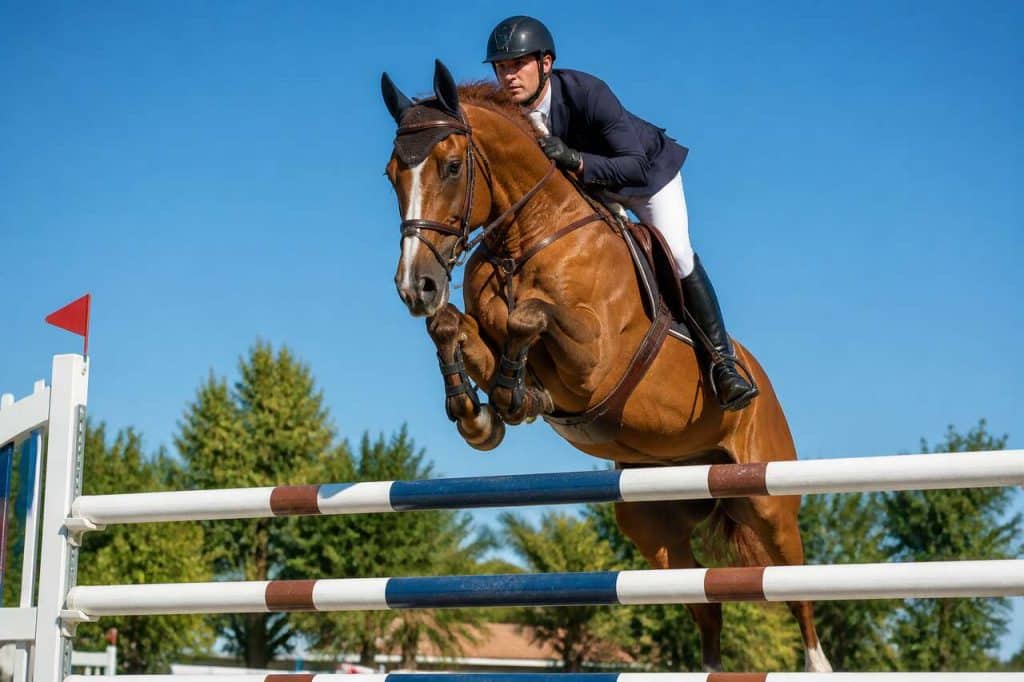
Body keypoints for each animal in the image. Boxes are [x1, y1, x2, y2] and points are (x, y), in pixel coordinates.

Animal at [381, 60, 832, 673]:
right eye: (391, 176)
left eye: (451, 167)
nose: (416, 286)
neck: (526, 238)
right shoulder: (483, 327)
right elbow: (453, 327)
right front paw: (480, 415)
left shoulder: (594, 359)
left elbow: (529, 316)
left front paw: (513, 397)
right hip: (652, 523)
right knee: (705, 604)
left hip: (768, 502)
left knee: (796, 590)